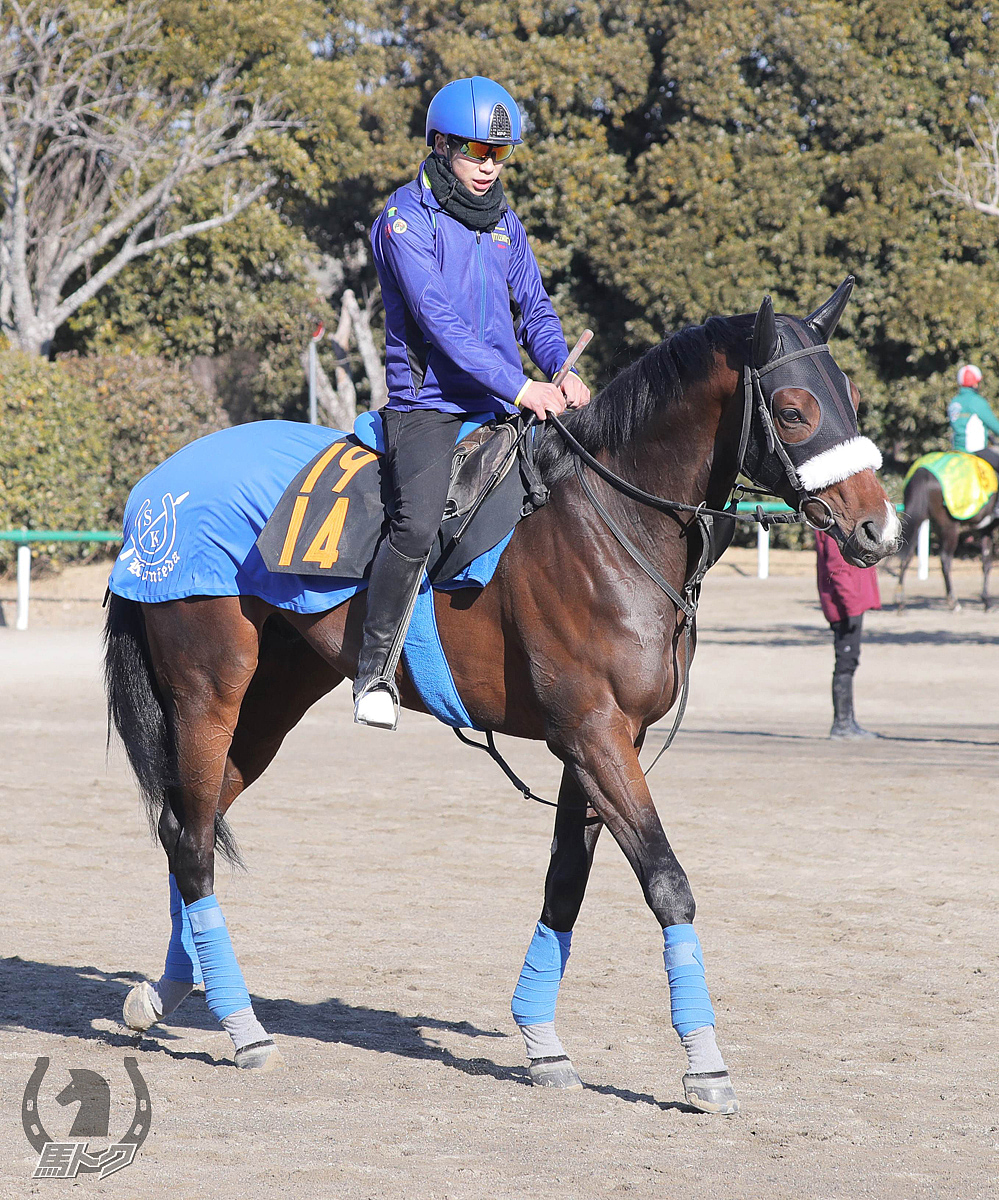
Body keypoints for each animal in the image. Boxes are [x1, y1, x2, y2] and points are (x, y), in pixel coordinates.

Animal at [107, 278, 898, 1113]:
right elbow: (667, 883)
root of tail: (157, 490)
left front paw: (542, 1042)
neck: (607, 525)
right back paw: (243, 1029)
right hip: (208, 695)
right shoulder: (592, 733)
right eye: (793, 409)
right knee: (195, 845)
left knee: (187, 827)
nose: (876, 527)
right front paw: (704, 1065)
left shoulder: (602, 741)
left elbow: (564, 885)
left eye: (847, 396)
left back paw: (165, 991)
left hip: (271, 704)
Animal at [893, 451, 994, 619]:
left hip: (918, 518)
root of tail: (923, 472)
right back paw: (954, 602)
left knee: (905, 557)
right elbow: (987, 562)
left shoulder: (986, 528)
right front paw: (987, 602)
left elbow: (986, 562)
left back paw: (900, 602)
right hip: (949, 525)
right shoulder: (989, 527)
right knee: (945, 559)